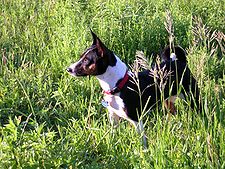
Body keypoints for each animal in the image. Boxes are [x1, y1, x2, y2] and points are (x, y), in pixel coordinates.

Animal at [66, 30, 200, 149]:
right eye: (80, 57)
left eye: (86, 60)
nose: (68, 69)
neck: (119, 85)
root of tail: (178, 62)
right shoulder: (113, 117)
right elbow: (113, 135)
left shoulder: (136, 119)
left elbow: (142, 141)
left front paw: (144, 153)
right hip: (168, 100)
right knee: (173, 113)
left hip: (192, 97)